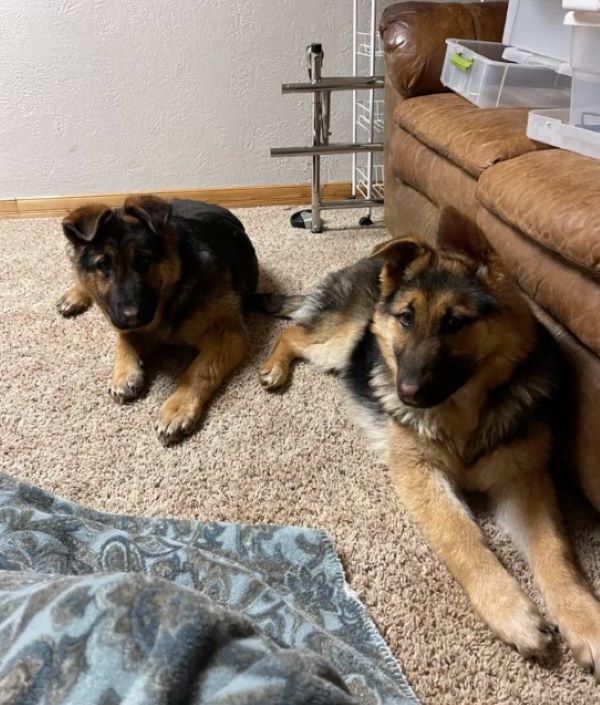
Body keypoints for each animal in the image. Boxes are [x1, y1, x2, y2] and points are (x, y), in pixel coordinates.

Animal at [56, 192, 260, 446]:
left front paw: (178, 407)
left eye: (144, 260)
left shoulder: (226, 334)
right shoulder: (135, 325)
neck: (173, 293)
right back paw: (75, 295)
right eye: (103, 265)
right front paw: (123, 373)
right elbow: (123, 339)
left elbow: (199, 370)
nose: (131, 316)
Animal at [260, 208, 600, 672]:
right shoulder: (420, 475)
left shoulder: (523, 479)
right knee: (293, 335)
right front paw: (510, 610)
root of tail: (367, 264)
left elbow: (554, 549)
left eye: (454, 322)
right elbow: (461, 537)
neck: (462, 412)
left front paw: (583, 619)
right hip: (341, 345)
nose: (405, 394)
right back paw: (274, 368)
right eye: (406, 318)